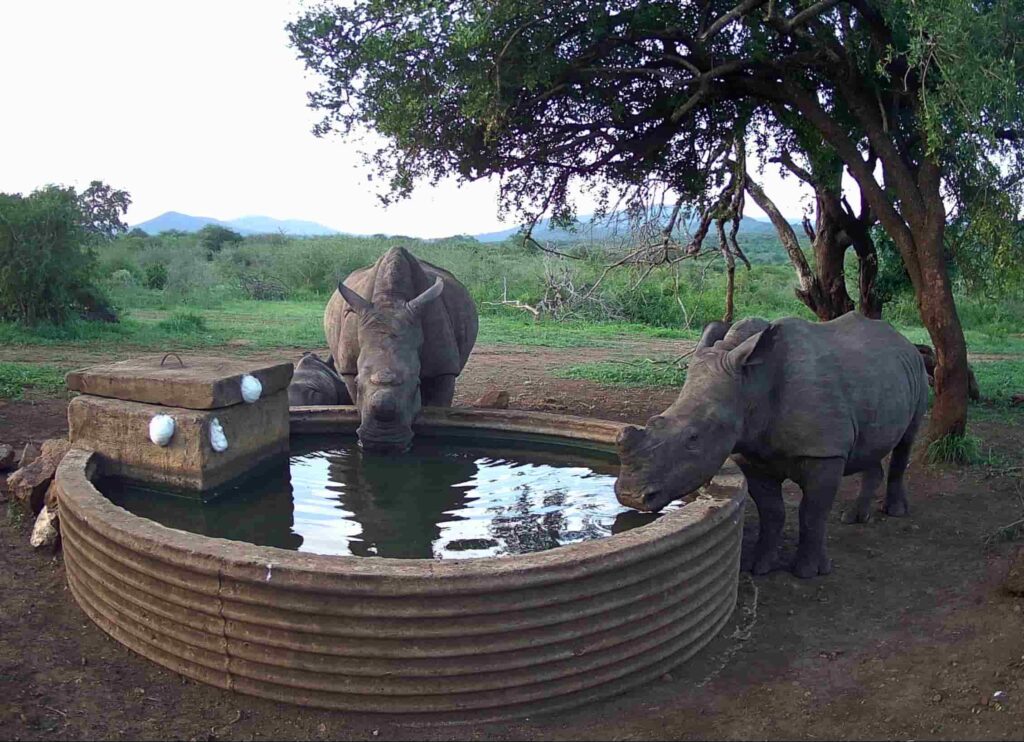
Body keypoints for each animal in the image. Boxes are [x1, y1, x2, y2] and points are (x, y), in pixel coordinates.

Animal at [324, 246, 478, 451]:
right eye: (357, 383)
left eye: (416, 385)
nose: (383, 443)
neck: (390, 301)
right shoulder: (348, 368)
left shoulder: (444, 368)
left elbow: (440, 404)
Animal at [616, 312, 928, 578]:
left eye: (693, 439)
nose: (631, 496)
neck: (751, 385)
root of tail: (903, 340)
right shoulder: (750, 453)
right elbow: (771, 511)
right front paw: (758, 567)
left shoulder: (824, 453)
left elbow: (812, 513)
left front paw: (808, 572)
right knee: (870, 446)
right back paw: (854, 517)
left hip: (919, 371)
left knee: (906, 442)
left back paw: (895, 511)